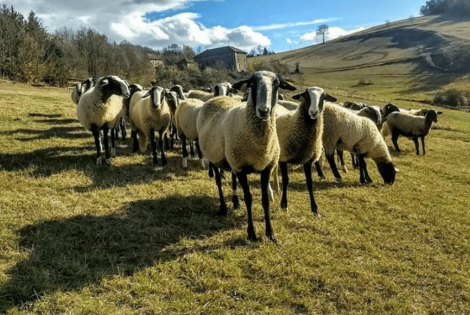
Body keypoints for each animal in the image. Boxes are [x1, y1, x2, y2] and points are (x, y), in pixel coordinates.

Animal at [196, 71, 296, 243]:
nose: (264, 110)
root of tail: (216, 98)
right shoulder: (241, 168)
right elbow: (248, 198)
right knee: (218, 182)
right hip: (214, 156)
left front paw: (270, 233)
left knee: (232, 179)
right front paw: (251, 233)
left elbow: (264, 199)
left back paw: (235, 203)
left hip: (231, 158)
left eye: (276, 84)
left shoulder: (266, 167)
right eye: (252, 83)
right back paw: (223, 208)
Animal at [270, 86, 336, 216]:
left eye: (324, 97)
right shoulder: (284, 157)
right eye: (306, 95)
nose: (314, 112)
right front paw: (284, 205)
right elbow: (286, 180)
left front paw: (315, 209)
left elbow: (309, 182)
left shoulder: (307, 160)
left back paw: (276, 187)